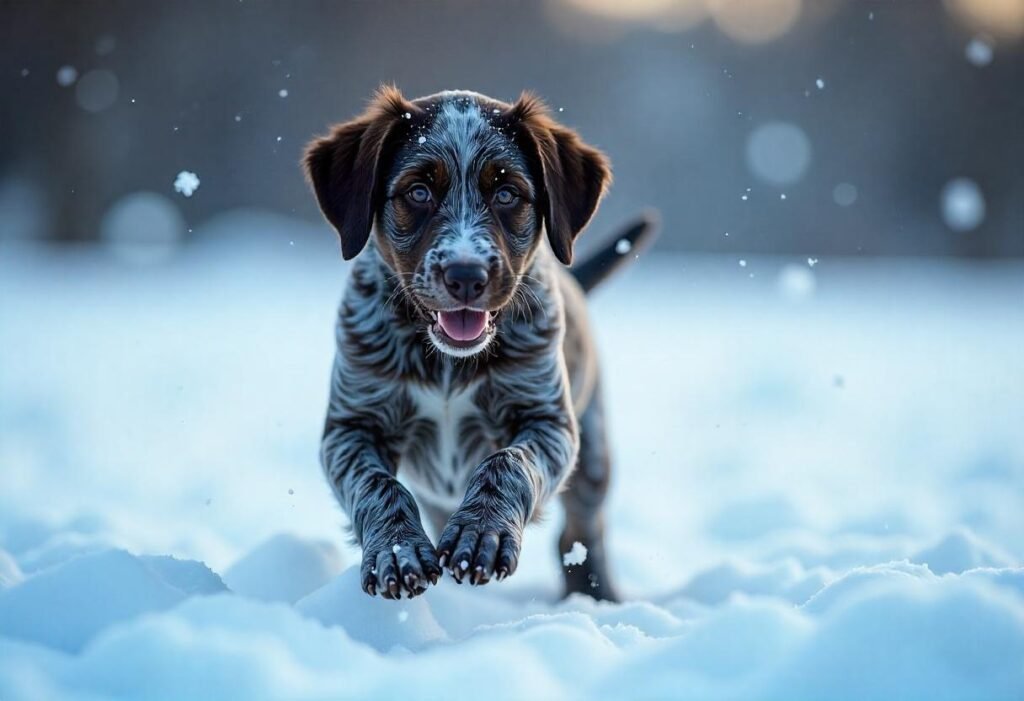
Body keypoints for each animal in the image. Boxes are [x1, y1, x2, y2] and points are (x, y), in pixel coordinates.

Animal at [305, 87, 655, 597]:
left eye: (507, 194)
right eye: (418, 191)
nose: (466, 275)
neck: (447, 365)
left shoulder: (549, 421)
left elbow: (506, 464)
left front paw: (480, 535)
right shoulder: (351, 426)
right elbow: (377, 485)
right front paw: (397, 551)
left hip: (592, 454)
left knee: (580, 532)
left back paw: (597, 596)